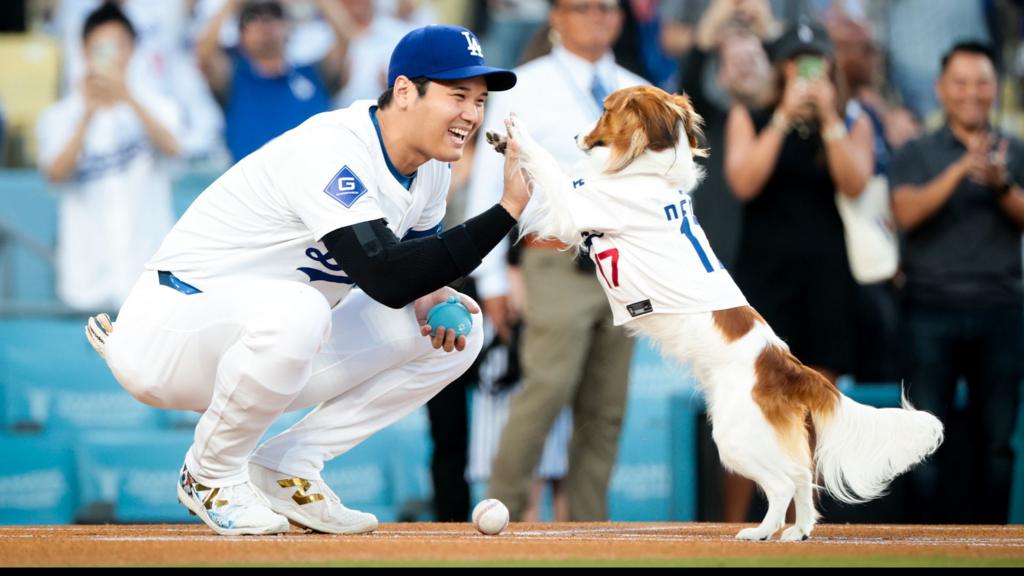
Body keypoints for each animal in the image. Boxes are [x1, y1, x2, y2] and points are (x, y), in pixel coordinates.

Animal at [487, 85, 942, 537]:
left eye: (605, 111)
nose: (577, 136)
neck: (647, 171)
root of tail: (788, 366)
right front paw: (502, 140)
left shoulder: (574, 206)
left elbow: (547, 165)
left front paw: (518, 133)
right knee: (799, 475)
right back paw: (797, 531)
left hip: (734, 435)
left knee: (781, 483)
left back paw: (760, 532)